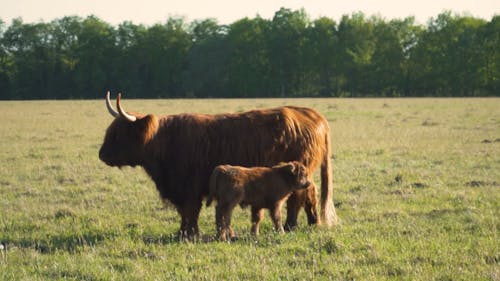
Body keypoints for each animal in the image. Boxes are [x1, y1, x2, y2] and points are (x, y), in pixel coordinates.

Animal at [97, 93, 338, 237]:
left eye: (118, 134)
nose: (101, 155)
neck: (164, 142)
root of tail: (312, 114)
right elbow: (185, 213)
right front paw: (183, 233)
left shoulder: (190, 187)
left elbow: (190, 211)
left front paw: (189, 235)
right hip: (305, 172)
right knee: (310, 193)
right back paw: (312, 223)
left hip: (298, 172)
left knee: (298, 197)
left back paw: (290, 226)